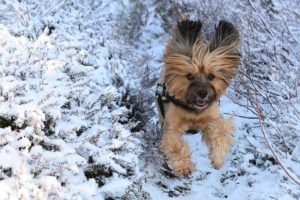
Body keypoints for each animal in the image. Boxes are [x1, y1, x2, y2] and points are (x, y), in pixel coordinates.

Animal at [156, 19, 240, 177]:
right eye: (189, 76)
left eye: (211, 76)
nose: (202, 93)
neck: (193, 109)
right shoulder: (172, 126)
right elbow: (175, 144)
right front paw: (184, 167)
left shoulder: (211, 119)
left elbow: (221, 131)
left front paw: (217, 157)